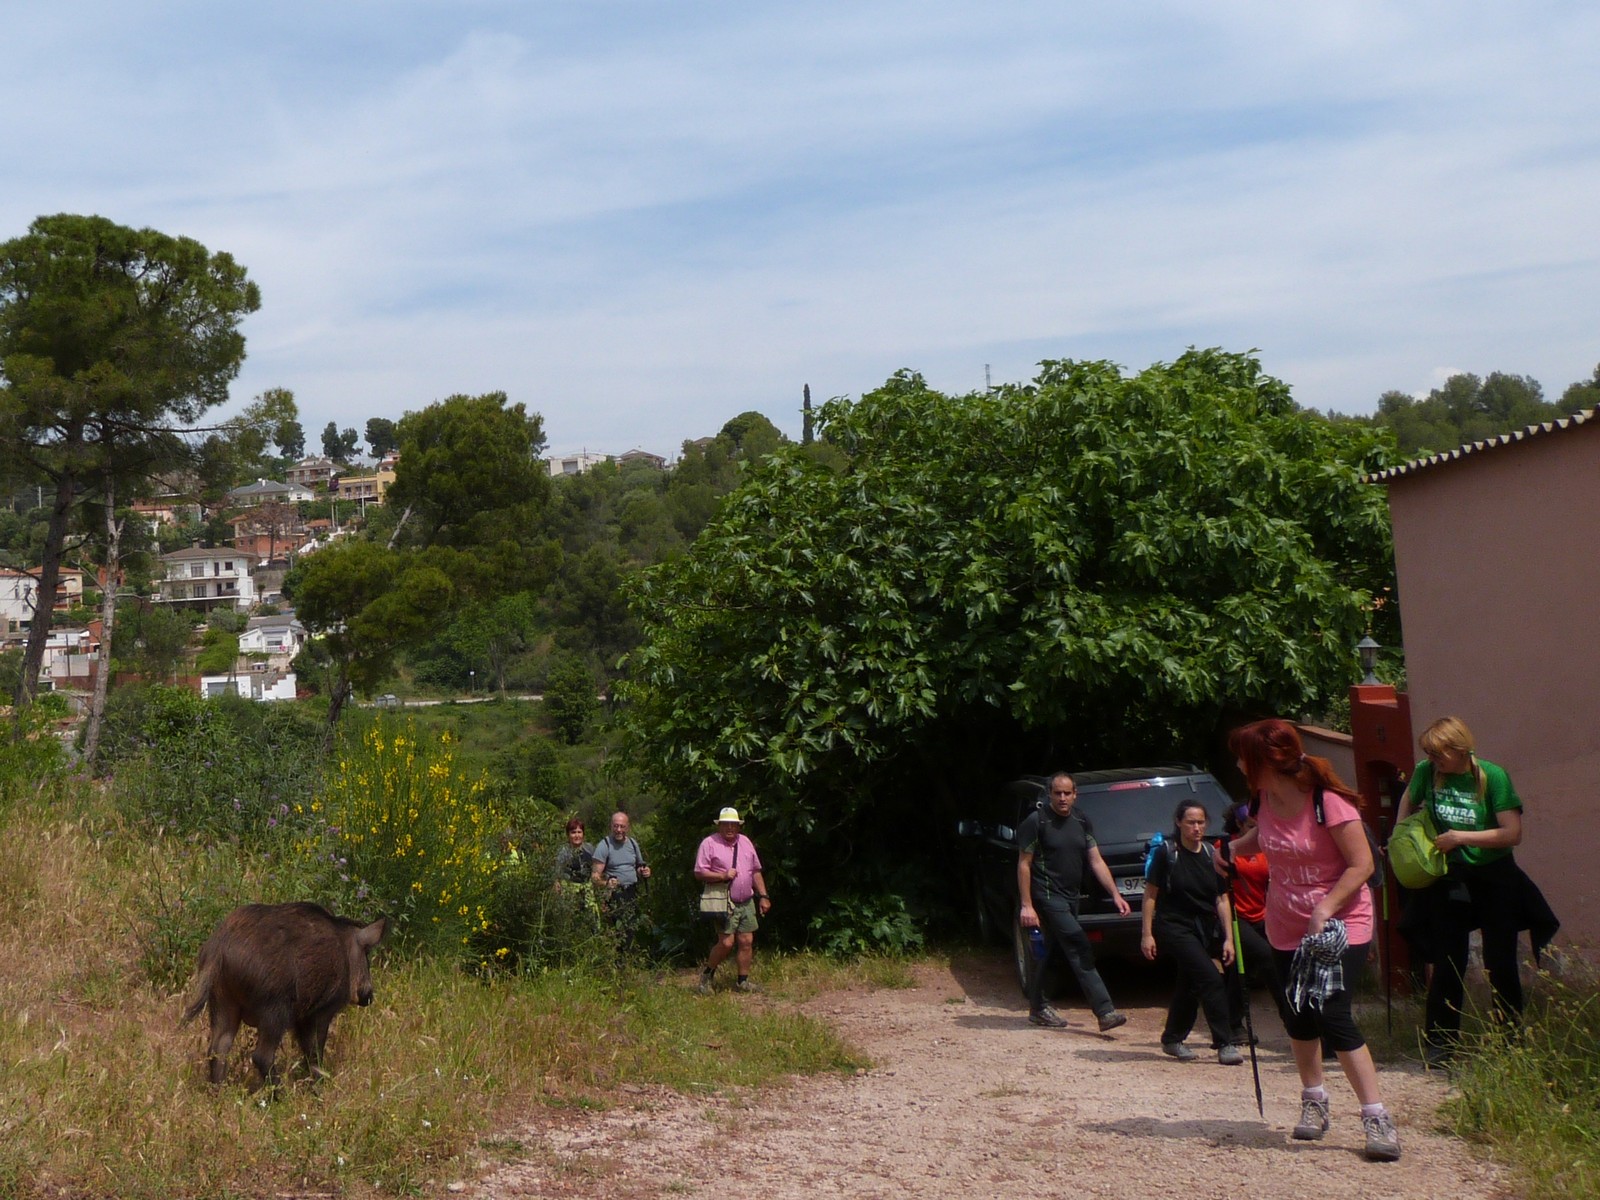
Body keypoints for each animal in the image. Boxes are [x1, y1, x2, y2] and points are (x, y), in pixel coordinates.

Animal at [181, 902, 388, 1088]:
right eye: (366, 953)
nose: (369, 996)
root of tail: (219, 949)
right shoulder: (321, 1011)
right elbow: (314, 1052)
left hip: (222, 1001)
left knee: (218, 1049)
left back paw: (219, 1092)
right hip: (274, 1008)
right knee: (261, 1056)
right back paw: (279, 1095)